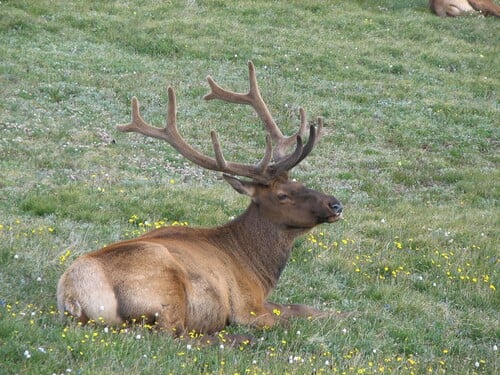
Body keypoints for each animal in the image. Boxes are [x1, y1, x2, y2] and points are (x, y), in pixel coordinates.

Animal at [55, 61, 344, 340]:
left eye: (300, 183)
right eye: (282, 195)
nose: (336, 205)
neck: (256, 269)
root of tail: (73, 295)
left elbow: (303, 307)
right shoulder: (247, 305)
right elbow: (291, 315)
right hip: (166, 290)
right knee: (176, 335)